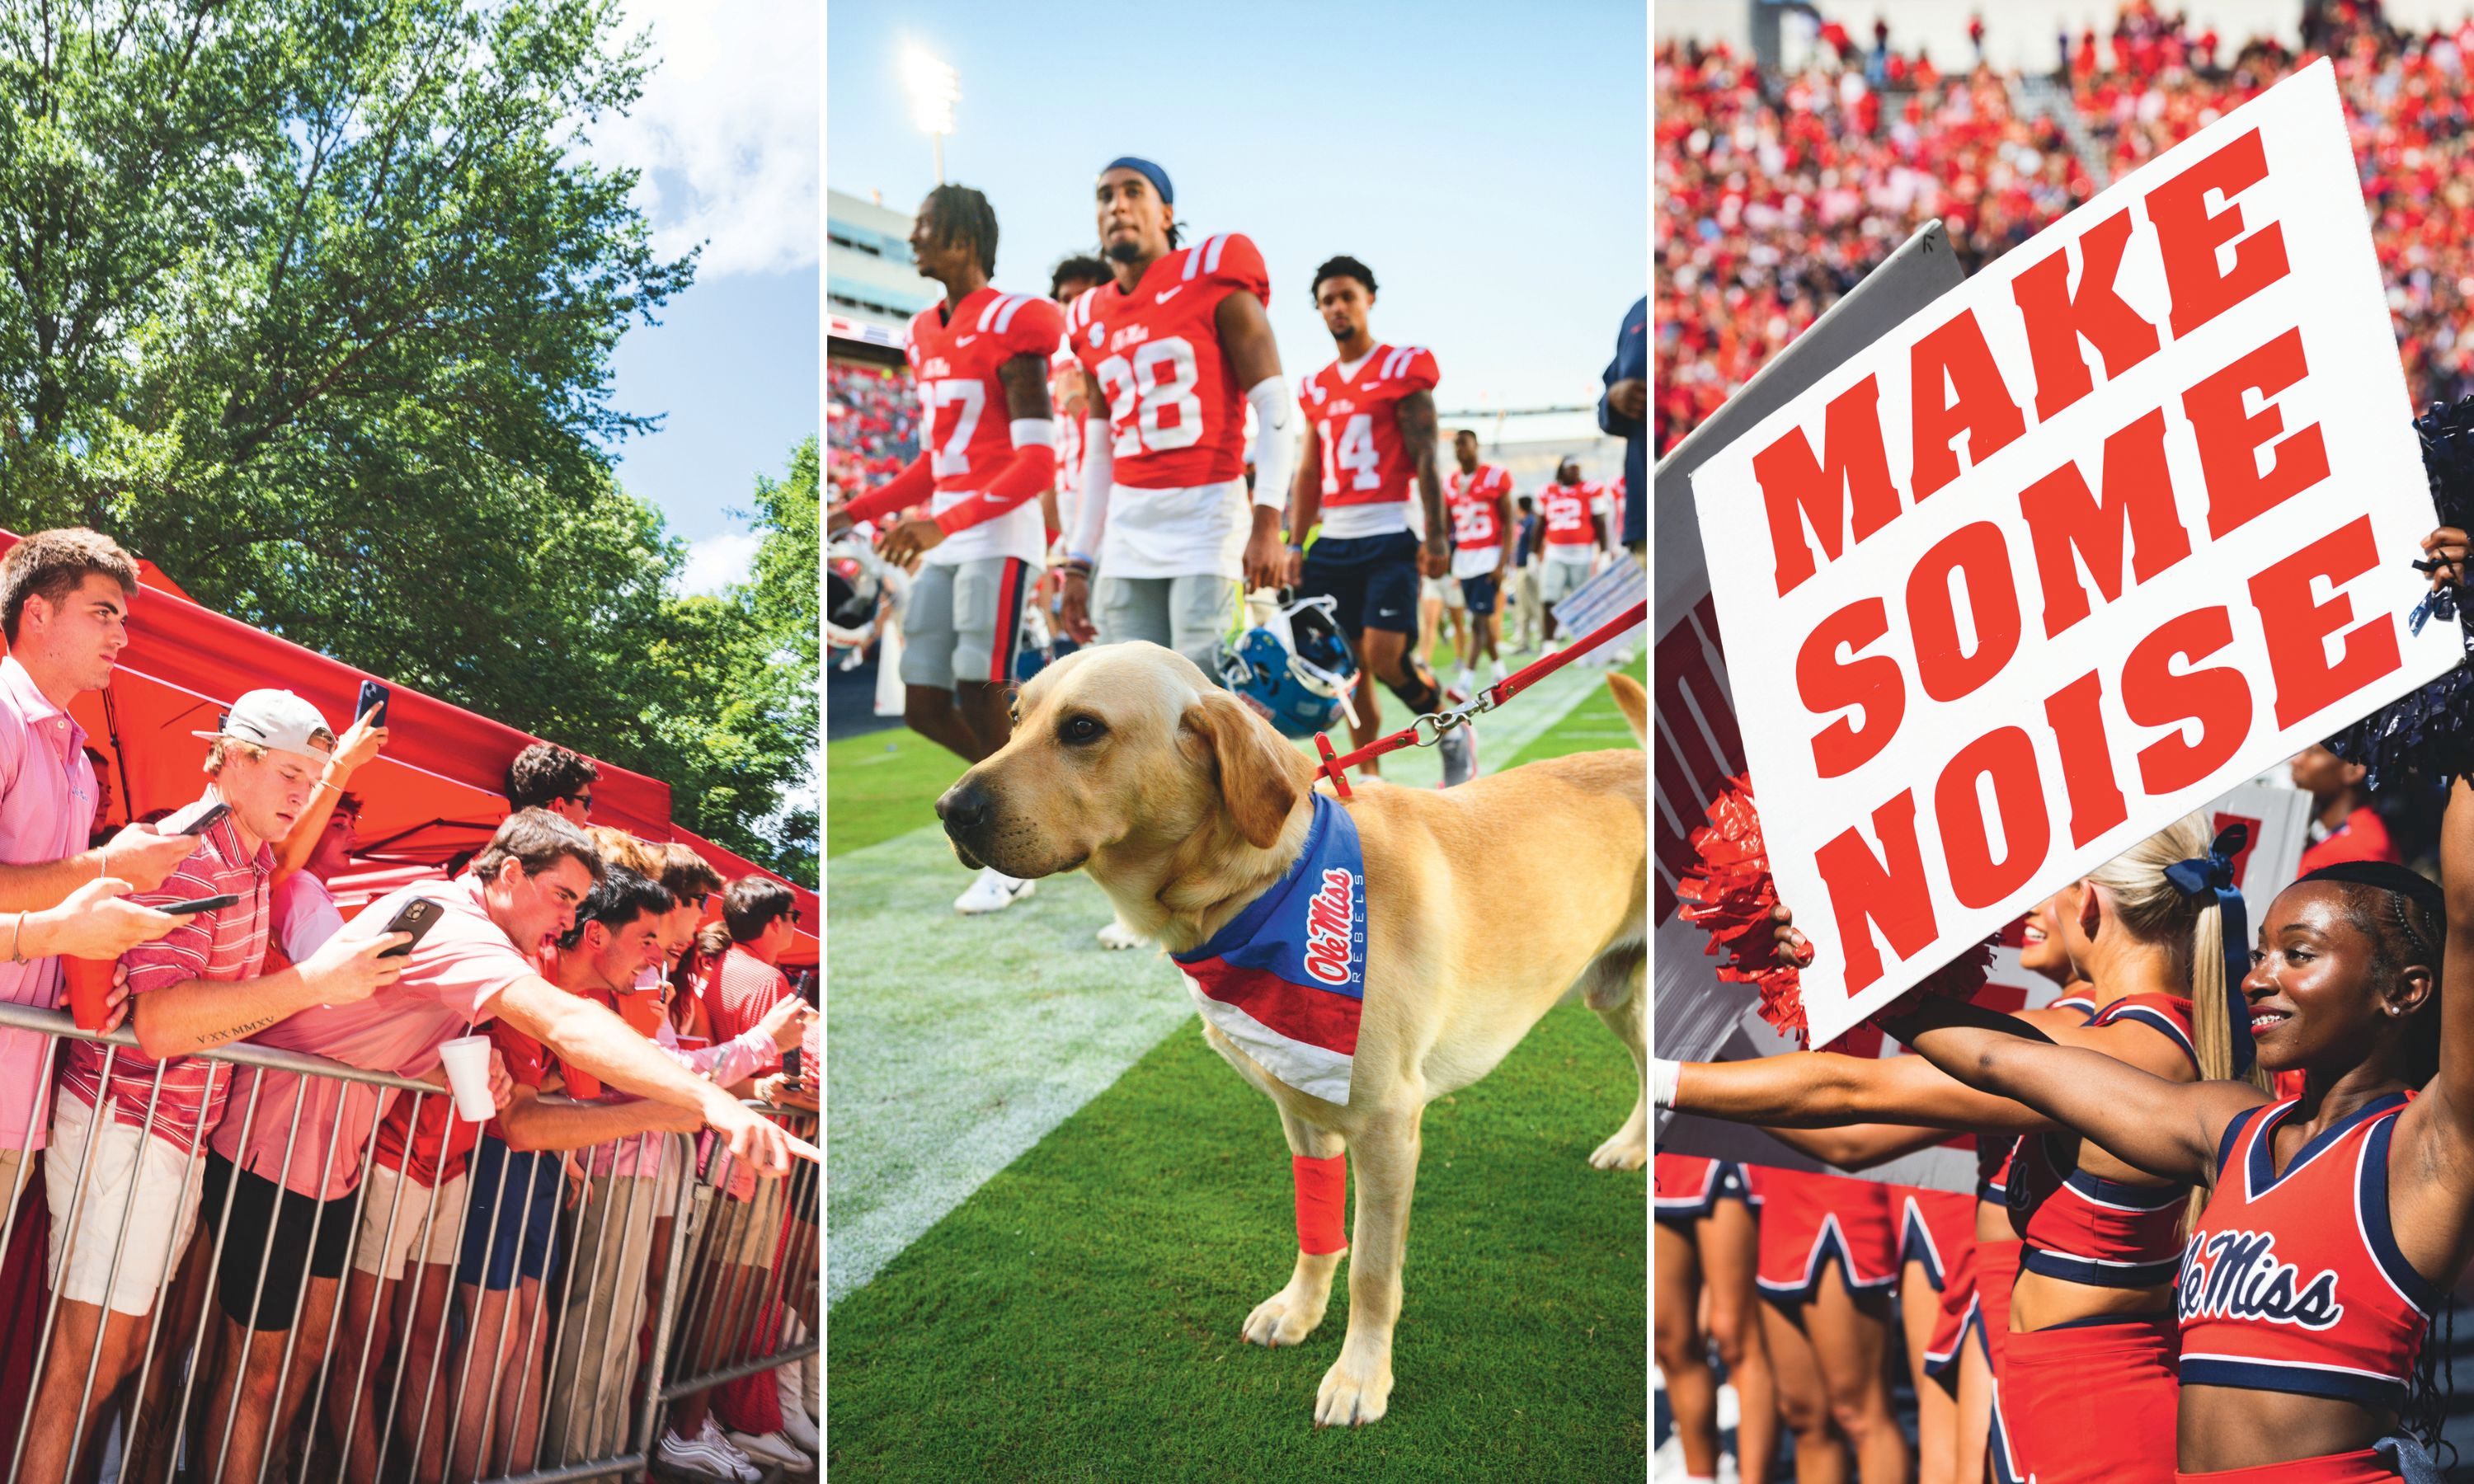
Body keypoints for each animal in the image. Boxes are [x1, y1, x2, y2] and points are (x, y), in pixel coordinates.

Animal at [935, 643, 1653, 1435]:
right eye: (1014, 716)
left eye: (1083, 728)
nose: (949, 811)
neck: (1261, 890)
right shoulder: (1304, 1111)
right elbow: (1318, 1230)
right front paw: (1300, 1311)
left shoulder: (1388, 1126)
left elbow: (1372, 1268)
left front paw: (1360, 1375)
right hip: (1610, 990)